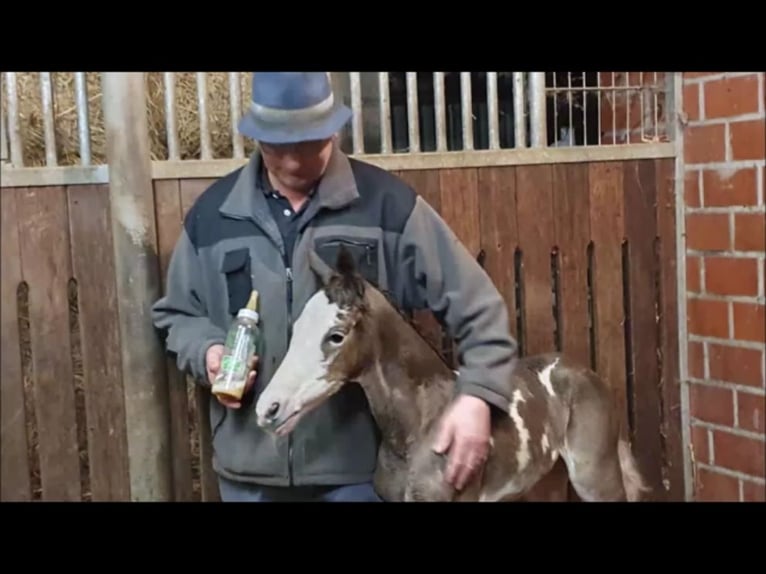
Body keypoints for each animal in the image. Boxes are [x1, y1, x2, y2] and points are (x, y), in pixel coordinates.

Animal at [254, 246, 650, 502]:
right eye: (297, 327)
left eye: (335, 336)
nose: (268, 408)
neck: (421, 426)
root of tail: (584, 371)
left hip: (593, 476)